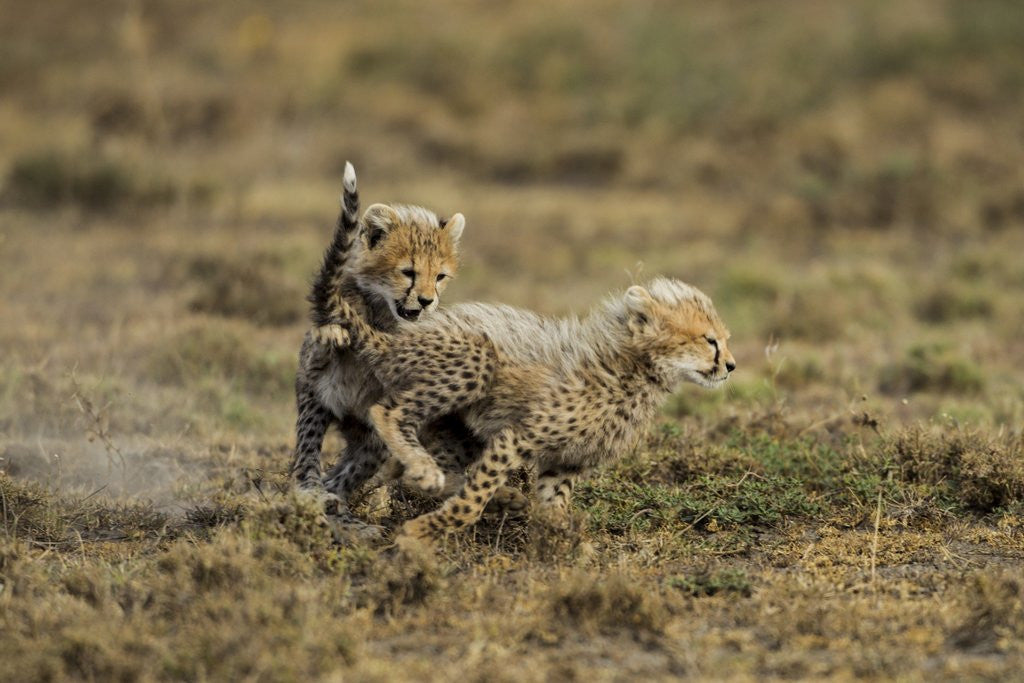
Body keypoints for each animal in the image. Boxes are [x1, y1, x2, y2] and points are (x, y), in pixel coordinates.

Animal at [320, 276, 736, 544]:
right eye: (709, 340)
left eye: (723, 340)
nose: (731, 366)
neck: (630, 368)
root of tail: (395, 337)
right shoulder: (515, 438)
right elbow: (471, 502)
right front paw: (420, 533)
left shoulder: (564, 462)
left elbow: (554, 508)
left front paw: (567, 544)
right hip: (473, 357)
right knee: (388, 416)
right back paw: (429, 475)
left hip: (456, 430)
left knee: (412, 472)